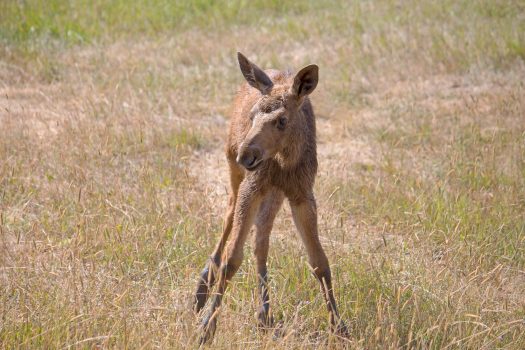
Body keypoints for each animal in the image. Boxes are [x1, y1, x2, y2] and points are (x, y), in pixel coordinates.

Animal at [194, 52, 346, 344]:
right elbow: (232, 259)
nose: (246, 155)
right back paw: (202, 289)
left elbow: (320, 263)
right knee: (229, 214)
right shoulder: (252, 186)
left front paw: (339, 327)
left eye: (282, 120)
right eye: (252, 115)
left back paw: (264, 314)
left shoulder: (302, 194)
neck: (284, 163)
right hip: (235, 171)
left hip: (273, 194)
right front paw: (207, 328)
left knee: (261, 240)